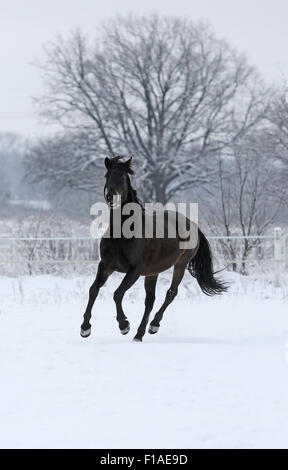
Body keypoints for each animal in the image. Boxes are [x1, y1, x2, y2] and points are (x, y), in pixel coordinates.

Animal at [80, 157, 226, 342]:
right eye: (107, 175)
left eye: (122, 175)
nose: (110, 197)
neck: (122, 232)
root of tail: (192, 224)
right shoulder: (106, 265)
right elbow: (93, 290)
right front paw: (85, 328)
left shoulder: (134, 270)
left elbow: (117, 294)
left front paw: (124, 325)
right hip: (152, 273)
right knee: (150, 301)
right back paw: (139, 335)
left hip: (180, 265)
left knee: (171, 293)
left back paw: (153, 326)